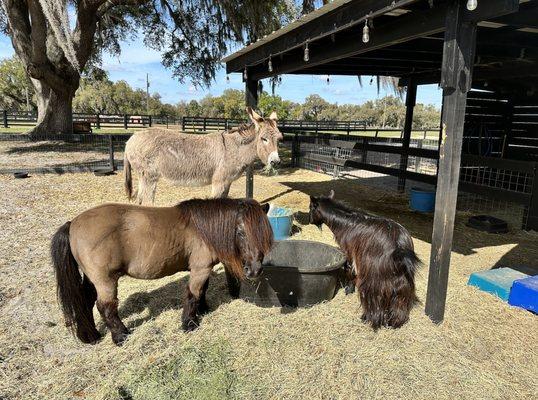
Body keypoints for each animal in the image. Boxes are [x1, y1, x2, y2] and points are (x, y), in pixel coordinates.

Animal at [50, 198, 272, 346]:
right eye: (241, 232)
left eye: (265, 233)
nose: (255, 270)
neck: (203, 230)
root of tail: (73, 224)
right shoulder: (200, 269)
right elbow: (193, 294)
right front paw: (189, 323)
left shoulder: (202, 269)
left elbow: (202, 291)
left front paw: (203, 309)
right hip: (105, 280)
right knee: (106, 307)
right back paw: (121, 336)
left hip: (91, 279)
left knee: (85, 301)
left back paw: (92, 335)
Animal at [310, 191, 418, 328]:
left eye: (311, 207)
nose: (309, 220)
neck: (344, 222)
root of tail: (399, 245)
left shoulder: (349, 252)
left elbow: (349, 269)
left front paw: (349, 290)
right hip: (403, 280)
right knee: (401, 296)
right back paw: (395, 322)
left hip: (374, 275)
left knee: (375, 295)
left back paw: (367, 318)